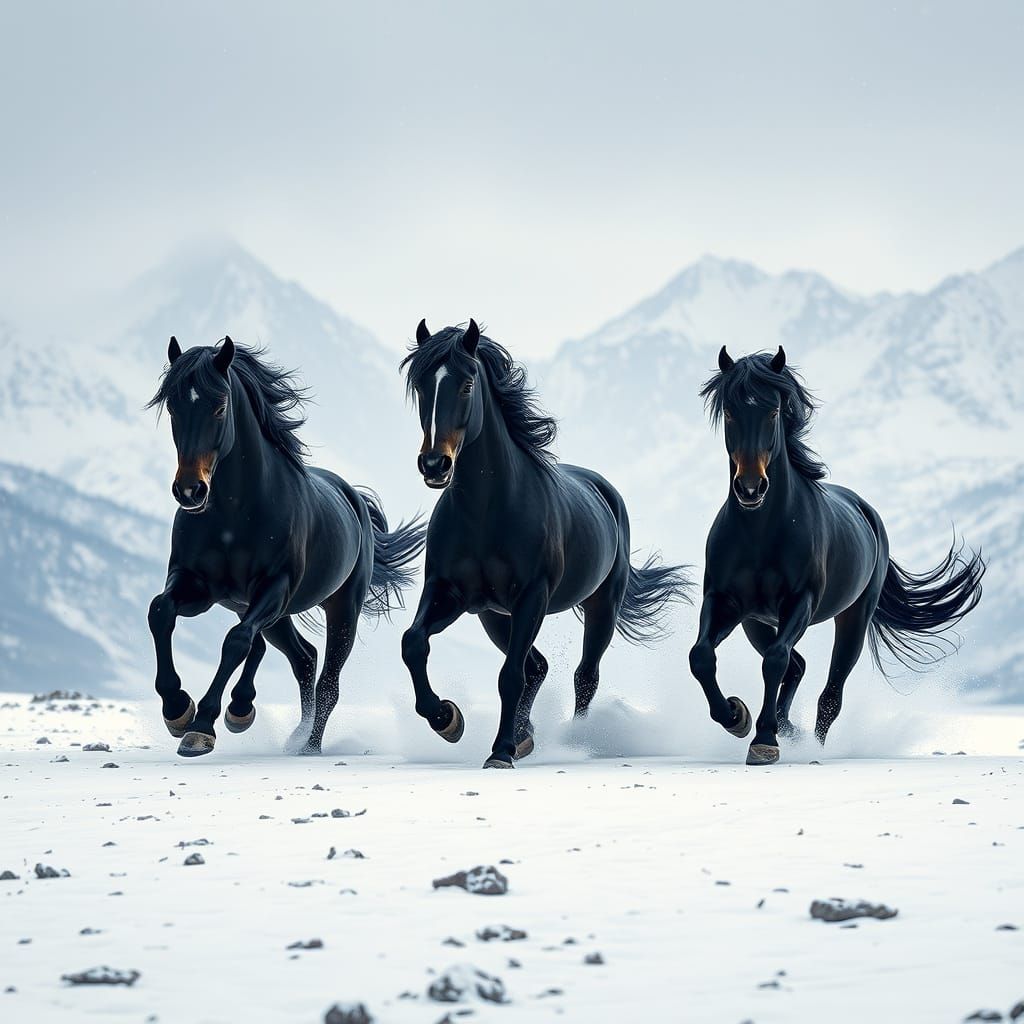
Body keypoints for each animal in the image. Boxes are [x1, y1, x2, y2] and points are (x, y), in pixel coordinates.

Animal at [146, 336, 425, 757]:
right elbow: (161, 611)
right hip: (265, 612)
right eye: (173, 407)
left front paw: (202, 726)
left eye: (220, 406)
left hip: (340, 608)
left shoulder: (274, 587)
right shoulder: (198, 586)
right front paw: (178, 710)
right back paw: (265, 720)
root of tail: (356, 501)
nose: (191, 491)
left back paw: (306, 744)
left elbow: (236, 642)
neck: (234, 514)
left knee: (326, 679)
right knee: (303, 658)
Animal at [399, 319, 693, 768]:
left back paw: (574, 739)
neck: (486, 512)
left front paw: (500, 752)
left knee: (583, 675)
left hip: (600, 606)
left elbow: (510, 675)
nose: (435, 465)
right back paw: (525, 736)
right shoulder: (450, 592)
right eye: (420, 384)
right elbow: (413, 643)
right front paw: (447, 718)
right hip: (493, 616)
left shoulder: (532, 595)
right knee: (538, 666)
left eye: (467, 384)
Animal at [688, 345, 985, 765]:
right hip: (755, 623)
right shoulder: (725, 601)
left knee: (828, 692)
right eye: (729, 412)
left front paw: (764, 740)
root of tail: (867, 512)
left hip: (853, 617)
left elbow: (775, 661)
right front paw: (735, 716)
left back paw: (808, 743)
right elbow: (702, 656)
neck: (760, 531)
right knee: (796, 666)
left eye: (773, 412)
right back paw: (787, 727)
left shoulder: (801, 602)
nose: (750, 488)